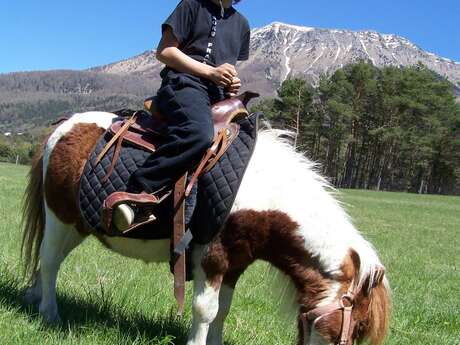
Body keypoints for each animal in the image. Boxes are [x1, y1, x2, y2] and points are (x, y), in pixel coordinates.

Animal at [20, 111, 388, 342]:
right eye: (359, 326)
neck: (263, 190)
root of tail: (62, 127)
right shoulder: (212, 257)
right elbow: (205, 310)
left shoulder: (236, 264)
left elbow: (222, 311)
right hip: (59, 218)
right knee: (50, 261)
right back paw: (49, 313)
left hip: (77, 226)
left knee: (49, 261)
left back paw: (36, 297)